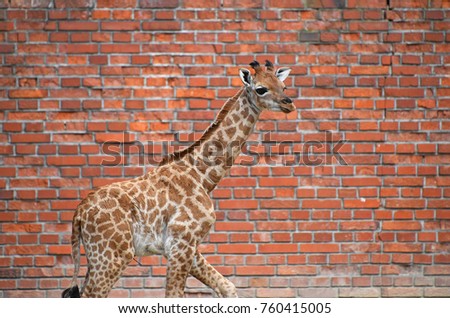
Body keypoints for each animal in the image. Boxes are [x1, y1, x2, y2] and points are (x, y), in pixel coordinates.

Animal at [62, 60, 296, 298]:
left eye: (283, 86)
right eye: (261, 89)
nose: (289, 104)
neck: (202, 176)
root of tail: (78, 214)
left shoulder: (185, 245)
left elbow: (227, 286)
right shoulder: (181, 240)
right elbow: (174, 295)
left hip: (97, 256)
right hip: (113, 254)